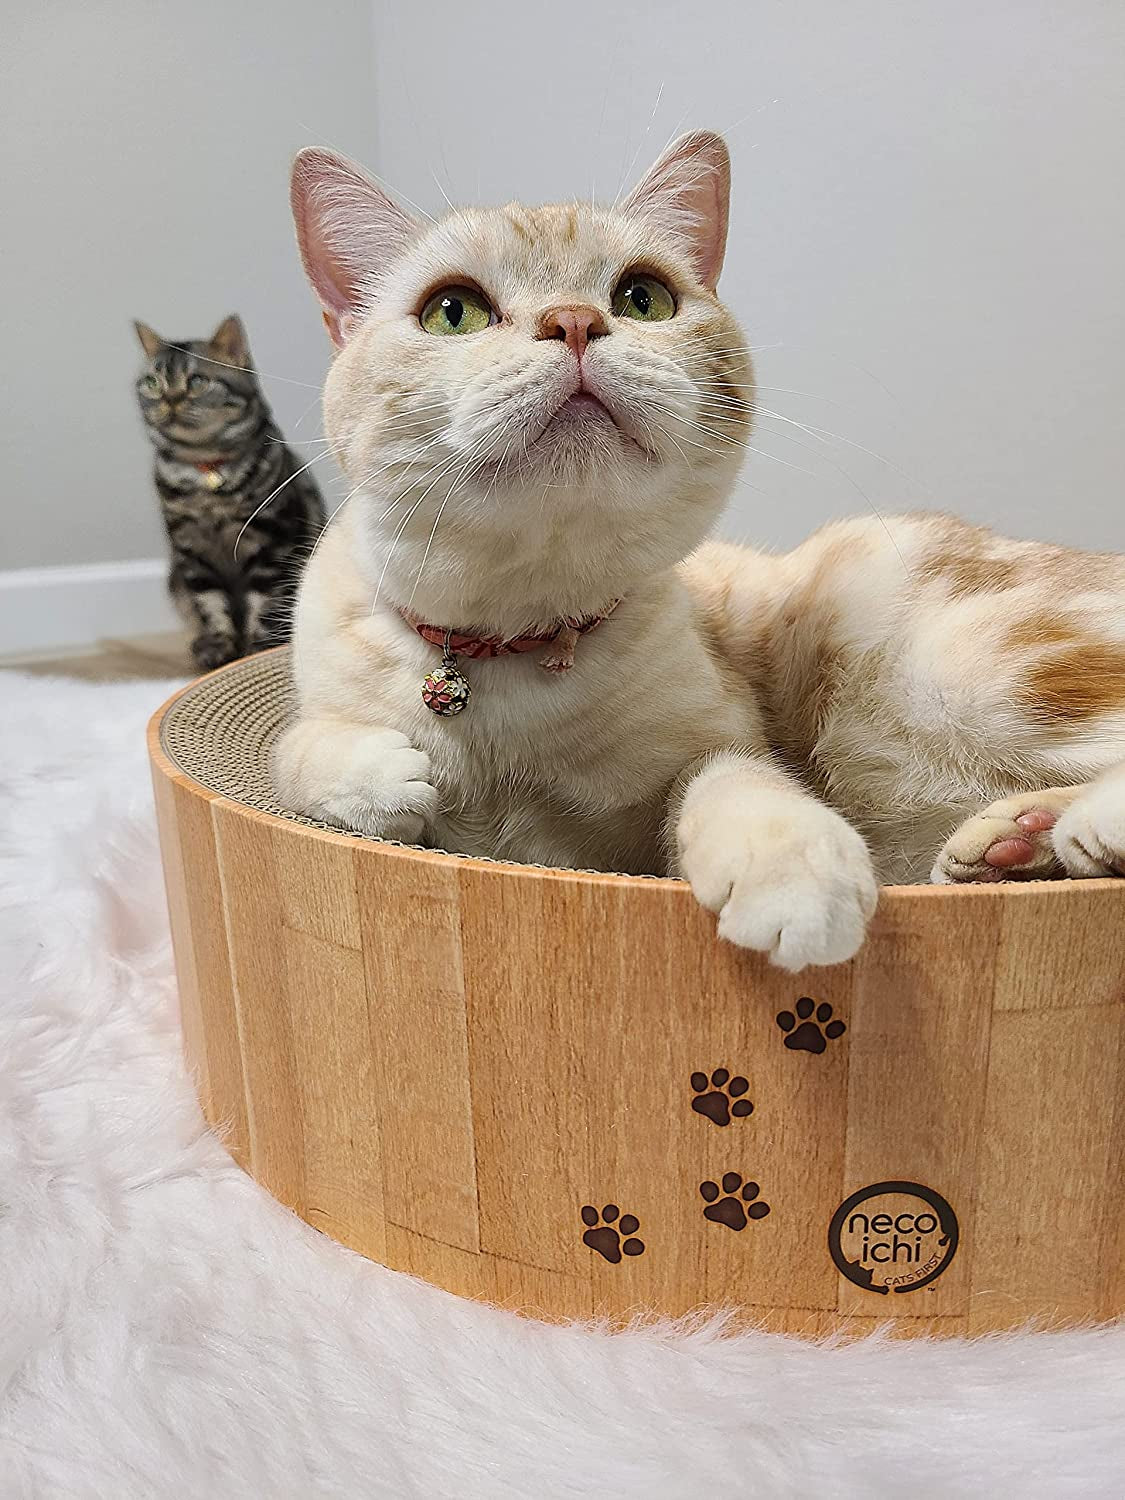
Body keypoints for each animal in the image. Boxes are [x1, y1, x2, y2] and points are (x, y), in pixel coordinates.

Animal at [134, 315, 325, 669]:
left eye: (197, 382)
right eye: (152, 383)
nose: (170, 400)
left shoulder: (270, 545)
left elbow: (263, 604)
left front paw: (256, 650)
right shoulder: (192, 552)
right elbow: (210, 605)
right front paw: (219, 647)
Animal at [273, 132, 1125, 972]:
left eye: (641, 298)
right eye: (453, 312)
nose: (573, 319)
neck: (513, 649)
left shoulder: (699, 760)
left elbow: (736, 782)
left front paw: (795, 881)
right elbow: (299, 749)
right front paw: (380, 773)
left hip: (969, 667)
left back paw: (1080, 829)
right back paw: (1014, 845)